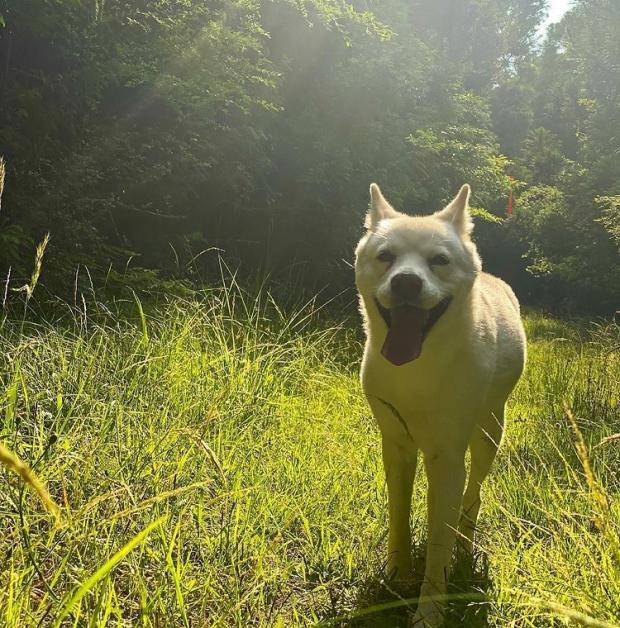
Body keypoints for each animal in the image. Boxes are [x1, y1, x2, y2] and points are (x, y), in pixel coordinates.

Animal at [356, 184, 524, 624]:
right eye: (386, 256)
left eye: (439, 261)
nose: (406, 283)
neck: (419, 367)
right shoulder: (396, 445)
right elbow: (399, 515)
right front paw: (397, 575)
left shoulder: (447, 459)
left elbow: (438, 542)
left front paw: (428, 612)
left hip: (489, 432)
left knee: (473, 496)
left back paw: (465, 544)